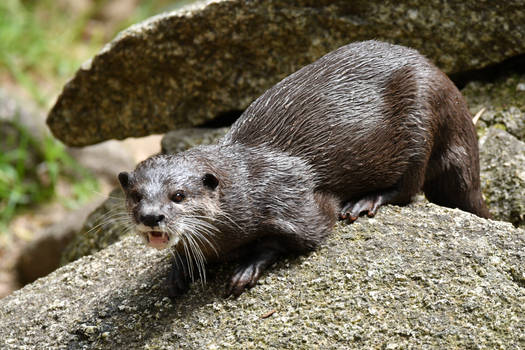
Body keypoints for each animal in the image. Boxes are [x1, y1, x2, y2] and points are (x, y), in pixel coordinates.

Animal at [116, 41, 490, 298]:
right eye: (135, 196)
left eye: (178, 196)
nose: (151, 216)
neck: (248, 188)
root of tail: (447, 86)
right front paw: (177, 271)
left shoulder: (294, 203)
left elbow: (295, 237)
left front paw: (246, 268)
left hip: (420, 120)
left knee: (409, 187)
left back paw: (364, 201)